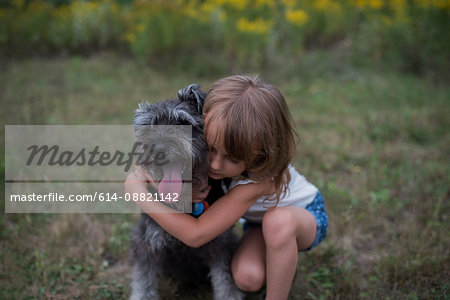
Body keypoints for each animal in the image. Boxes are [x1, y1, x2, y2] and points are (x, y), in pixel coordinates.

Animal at [128, 84, 244, 300]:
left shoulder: (221, 245)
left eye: (183, 121)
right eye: (149, 126)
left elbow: (225, 281)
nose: (159, 149)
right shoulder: (147, 244)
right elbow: (144, 281)